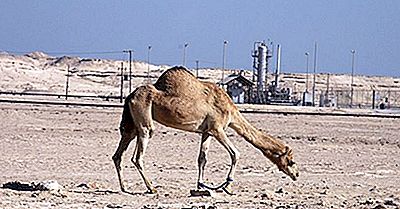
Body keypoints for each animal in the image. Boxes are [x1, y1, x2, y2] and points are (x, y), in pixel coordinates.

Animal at [111, 66, 298, 194]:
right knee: (138, 154)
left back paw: (124, 187)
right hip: (144, 121)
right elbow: (235, 153)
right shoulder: (217, 128)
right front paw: (227, 185)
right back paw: (151, 188)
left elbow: (202, 158)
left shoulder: (207, 132)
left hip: (132, 124)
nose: (296, 175)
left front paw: (200, 186)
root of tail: (130, 96)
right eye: (290, 161)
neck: (231, 111)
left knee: (118, 154)